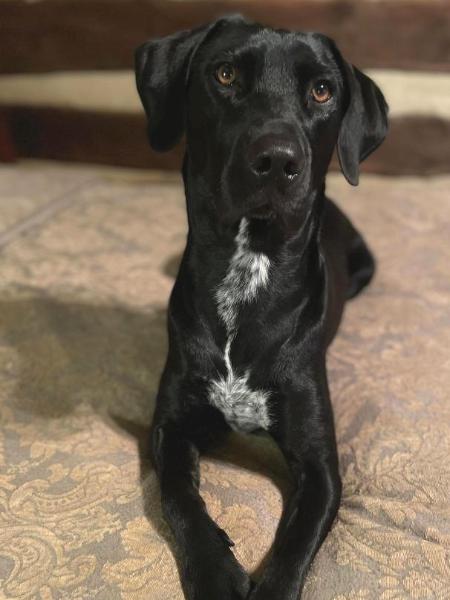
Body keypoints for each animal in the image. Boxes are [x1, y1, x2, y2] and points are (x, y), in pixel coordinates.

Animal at [135, 14, 388, 600]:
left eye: (322, 90)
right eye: (225, 74)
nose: (277, 160)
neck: (249, 269)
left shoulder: (322, 467)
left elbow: (297, 540)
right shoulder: (169, 428)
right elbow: (179, 498)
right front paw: (215, 572)